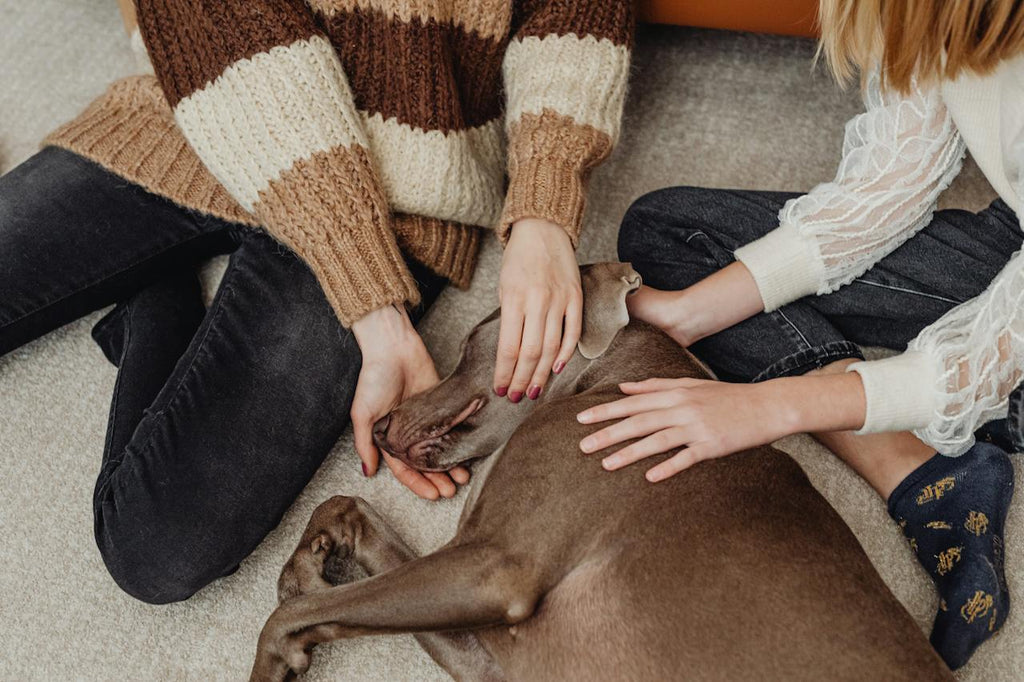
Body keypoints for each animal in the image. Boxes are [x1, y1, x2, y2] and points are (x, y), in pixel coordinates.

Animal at [253, 261, 950, 679]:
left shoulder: (495, 569)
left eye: (474, 339)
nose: (377, 425)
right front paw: (308, 565)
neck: (614, 383)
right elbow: (339, 512)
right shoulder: (498, 654)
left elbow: (286, 617)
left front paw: (280, 651)